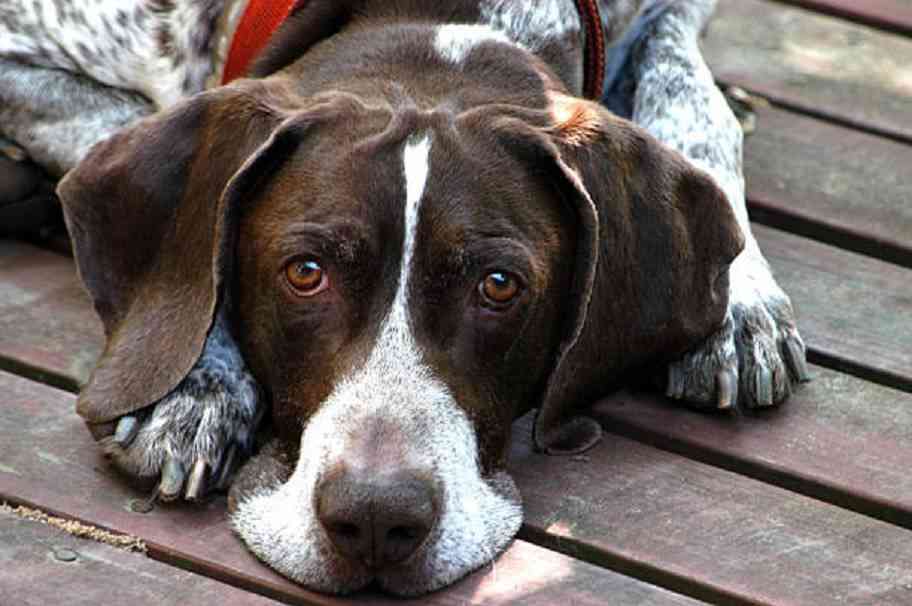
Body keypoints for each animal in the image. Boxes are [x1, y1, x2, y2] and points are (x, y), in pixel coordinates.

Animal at [0, 0, 804, 600]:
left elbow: (691, 95)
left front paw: (742, 300)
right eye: (305, 272)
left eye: (499, 286)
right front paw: (196, 381)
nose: (376, 520)